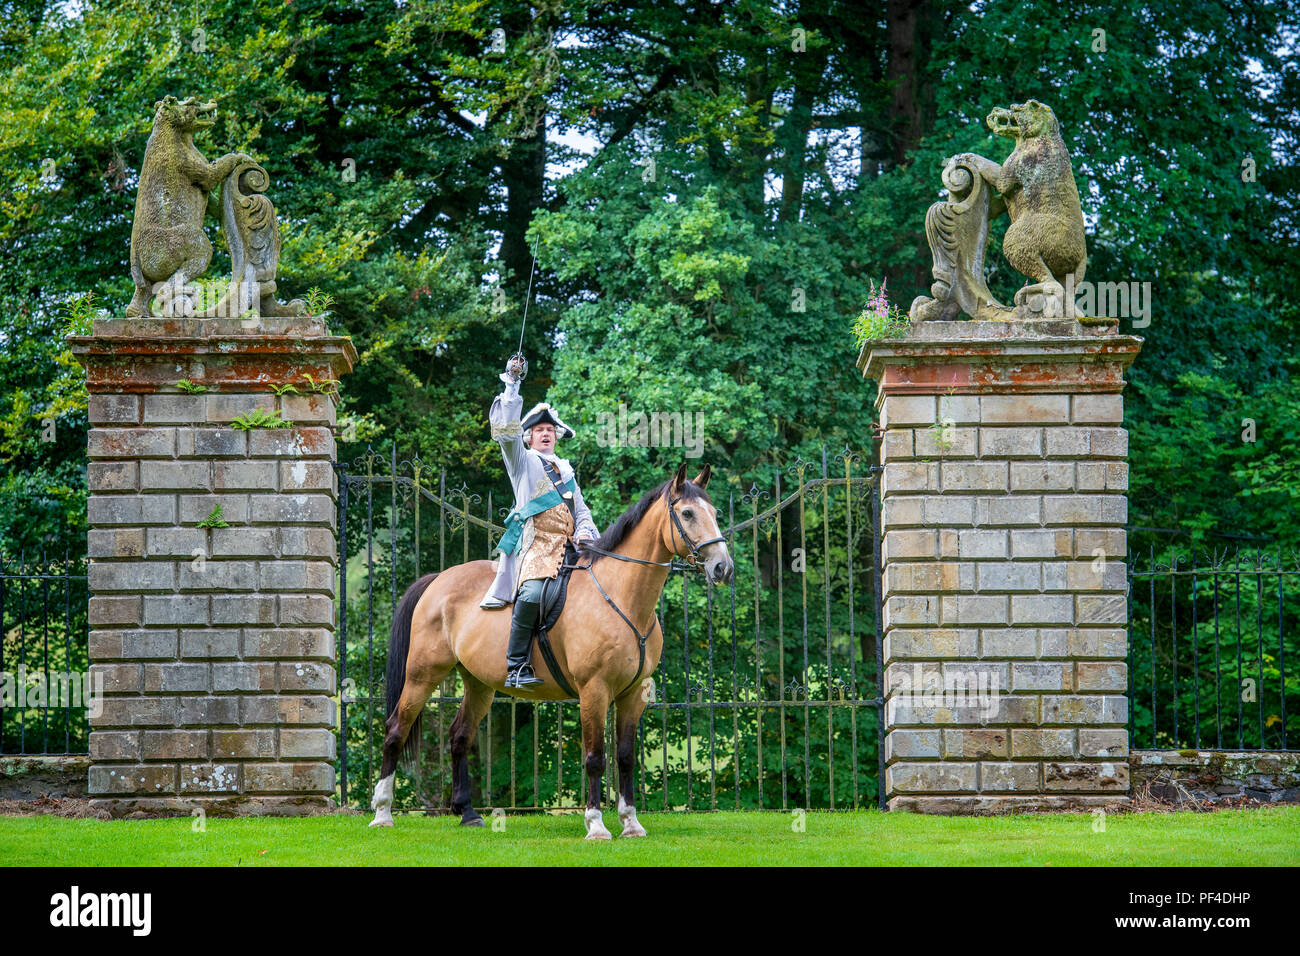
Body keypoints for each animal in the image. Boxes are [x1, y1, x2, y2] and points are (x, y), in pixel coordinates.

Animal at [369, 463, 733, 837]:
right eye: (687, 513)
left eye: (714, 513)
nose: (723, 567)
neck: (621, 597)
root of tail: (439, 580)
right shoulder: (593, 691)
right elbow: (595, 758)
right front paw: (596, 824)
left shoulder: (634, 695)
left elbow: (625, 757)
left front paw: (631, 823)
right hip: (422, 675)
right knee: (395, 730)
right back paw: (382, 812)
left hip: (479, 685)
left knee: (459, 736)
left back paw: (468, 813)